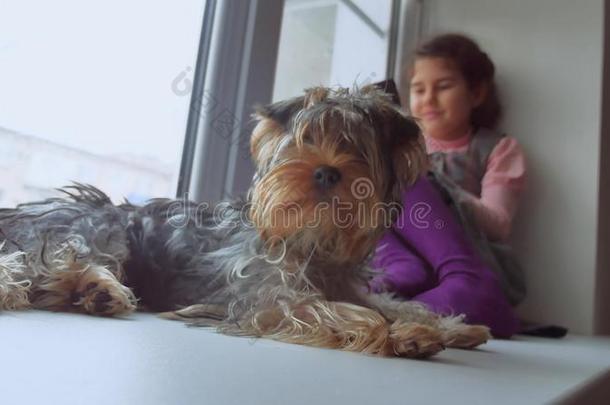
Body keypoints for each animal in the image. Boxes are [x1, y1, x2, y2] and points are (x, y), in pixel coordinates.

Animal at [0, 86, 486, 356]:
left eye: (356, 149)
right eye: (303, 141)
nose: (326, 170)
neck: (313, 237)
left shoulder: (344, 284)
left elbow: (392, 303)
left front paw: (446, 328)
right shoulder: (268, 297)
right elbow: (343, 313)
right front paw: (402, 336)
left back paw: (92, 293)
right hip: (100, 229)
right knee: (40, 264)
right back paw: (89, 288)